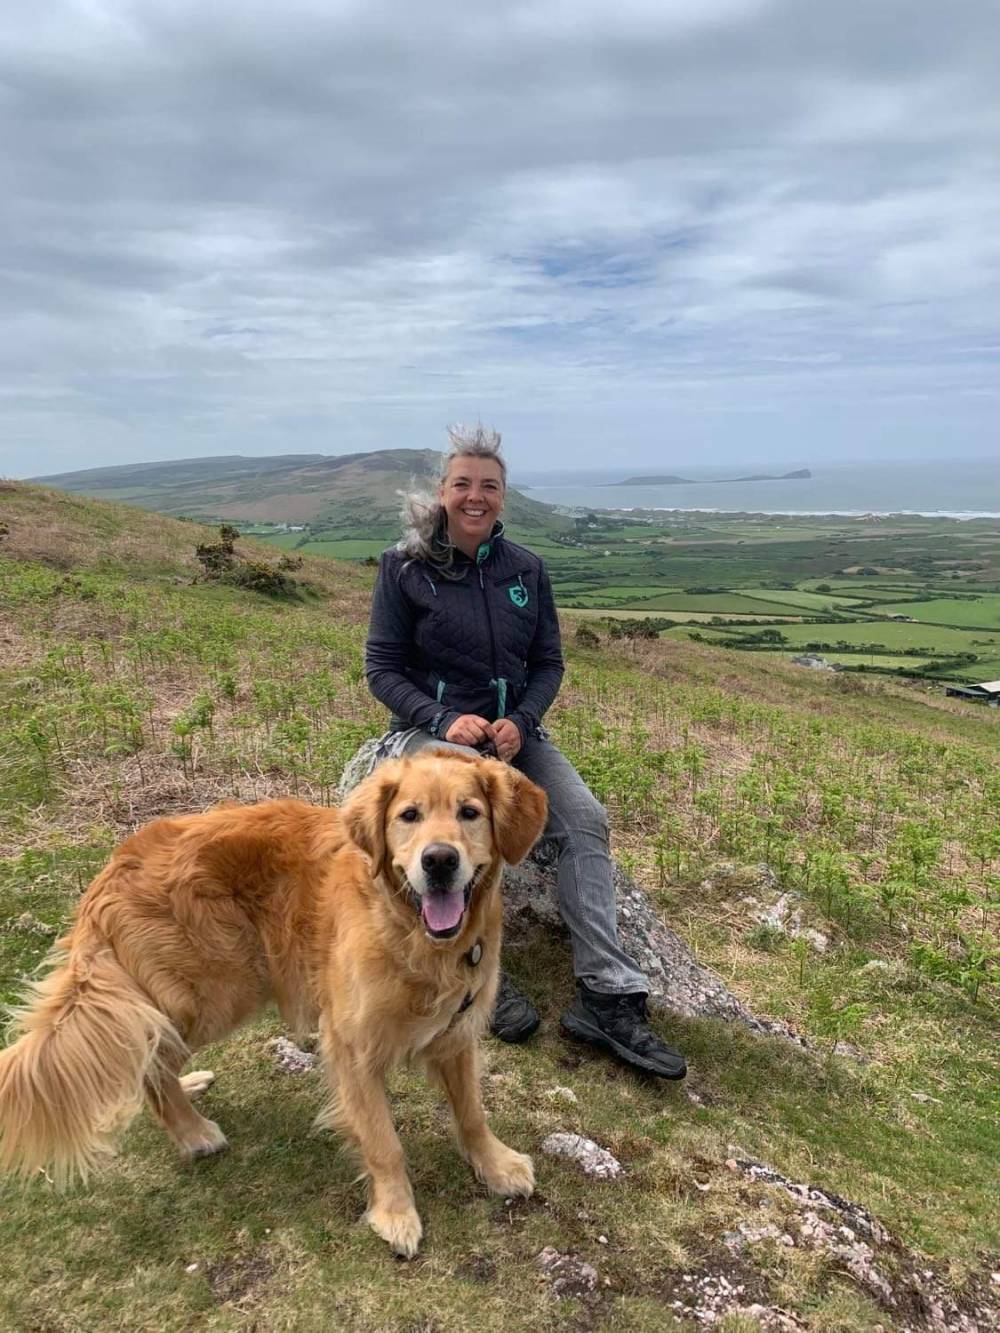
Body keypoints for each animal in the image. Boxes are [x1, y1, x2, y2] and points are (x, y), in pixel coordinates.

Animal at [0, 757, 549, 1253]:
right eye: (408, 815)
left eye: (469, 812)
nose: (439, 861)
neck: (411, 935)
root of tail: (115, 867)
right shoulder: (351, 1047)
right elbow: (383, 1142)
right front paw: (396, 1213)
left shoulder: (457, 1035)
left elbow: (472, 1112)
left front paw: (495, 1164)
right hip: (219, 990)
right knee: (153, 1061)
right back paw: (193, 1132)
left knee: (150, 1051)